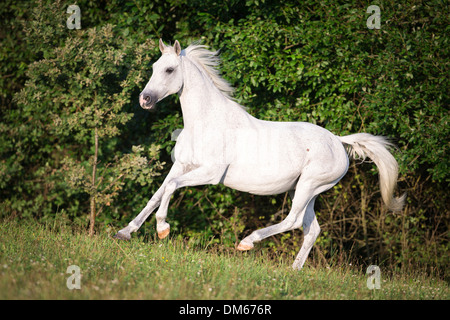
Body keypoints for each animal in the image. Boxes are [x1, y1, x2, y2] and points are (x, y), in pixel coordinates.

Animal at [115, 40, 404, 270]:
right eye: (154, 67)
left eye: (170, 69)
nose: (144, 99)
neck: (206, 122)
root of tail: (339, 141)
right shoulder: (182, 166)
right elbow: (158, 193)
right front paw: (125, 232)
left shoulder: (210, 173)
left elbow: (170, 188)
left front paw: (162, 228)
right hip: (307, 190)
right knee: (312, 230)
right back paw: (293, 270)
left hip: (310, 185)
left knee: (293, 220)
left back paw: (247, 242)